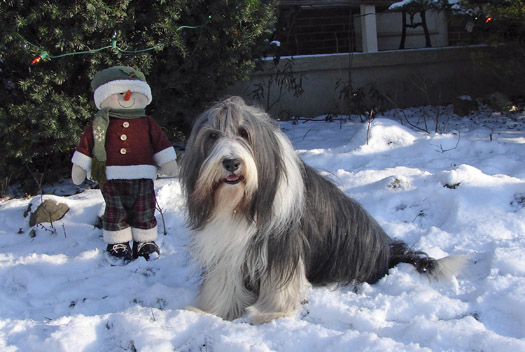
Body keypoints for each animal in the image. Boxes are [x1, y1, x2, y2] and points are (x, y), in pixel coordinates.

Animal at [179, 95, 462, 324]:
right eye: (212, 136)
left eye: (244, 133)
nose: (231, 162)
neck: (243, 204)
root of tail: (388, 252)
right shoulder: (226, 244)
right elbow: (223, 279)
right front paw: (212, 312)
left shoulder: (284, 241)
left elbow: (281, 281)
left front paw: (271, 313)